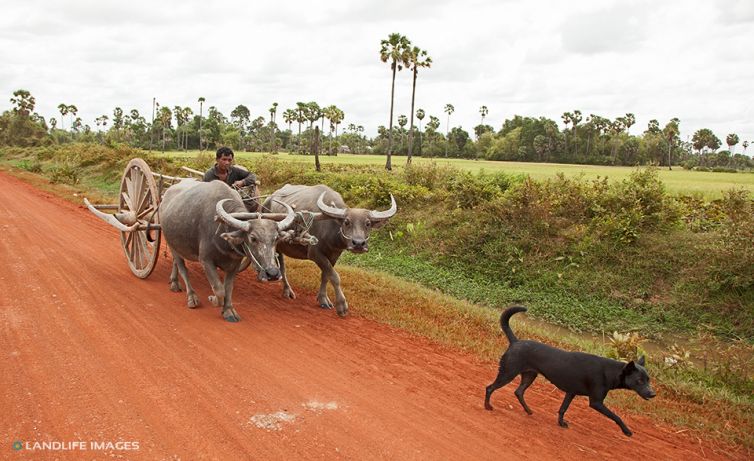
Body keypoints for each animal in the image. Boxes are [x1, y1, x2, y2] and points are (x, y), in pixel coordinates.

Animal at [161, 178, 294, 322]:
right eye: (253, 238)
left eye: (276, 238)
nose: (273, 274)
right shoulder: (206, 260)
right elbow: (219, 289)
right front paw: (213, 299)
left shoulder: (234, 265)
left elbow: (228, 288)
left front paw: (229, 311)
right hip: (171, 244)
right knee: (182, 268)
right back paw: (191, 296)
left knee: (176, 263)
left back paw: (174, 282)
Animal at [262, 183, 396, 316]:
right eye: (347, 222)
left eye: (367, 223)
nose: (358, 244)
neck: (330, 227)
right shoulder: (315, 253)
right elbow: (335, 277)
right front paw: (342, 305)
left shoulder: (333, 256)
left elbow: (326, 275)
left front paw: (323, 299)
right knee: (281, 267)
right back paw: (287, 290)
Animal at [482, 306, 652, 434]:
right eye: (639, 381)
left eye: (648, 380)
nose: (653, 394)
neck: (609, 371)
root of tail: (515, 341)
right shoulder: (596, 402)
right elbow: (616, 416)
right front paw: (626, 430)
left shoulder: (571, 392)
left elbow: (562, 409)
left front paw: (561, 423)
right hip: (508, 373)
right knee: (490, 388)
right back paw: (487, 406)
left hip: (529, 375)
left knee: (518, 392)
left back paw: (528, 411)